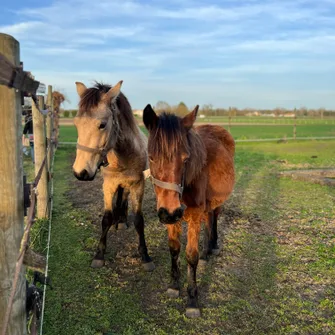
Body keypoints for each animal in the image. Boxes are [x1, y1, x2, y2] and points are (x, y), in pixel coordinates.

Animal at [73, 81, 156, 272]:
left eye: (102, 124)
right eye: (76, 123)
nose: (81, 172)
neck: (124, 155)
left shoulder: (138, 185)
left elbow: (139, 220)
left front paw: (145, 256)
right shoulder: (108, 185)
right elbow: (106, 218)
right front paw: (99, 255)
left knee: (123, 198)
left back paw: (122, 220)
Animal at [143, 104, 235, 318]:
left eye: (185, 159)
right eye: (151, 157)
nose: (169, 212)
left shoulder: (192, 214)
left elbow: (191, 255)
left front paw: (192, 300)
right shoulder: (172, 217)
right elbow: (174, 248)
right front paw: (174, 285)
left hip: (216, 202)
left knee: (214, 218)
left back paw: (213, 247)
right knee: (209, 219)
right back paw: (206, 253)